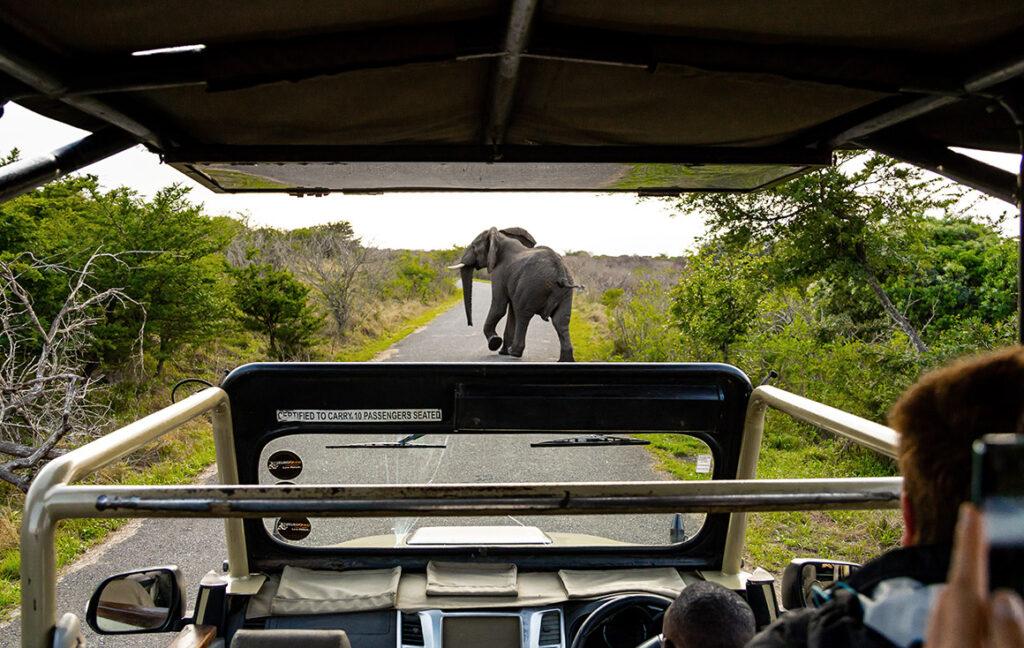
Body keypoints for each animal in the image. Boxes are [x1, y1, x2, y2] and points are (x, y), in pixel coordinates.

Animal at [448, 227, 579, 362]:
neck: (500, 237)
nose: (470, 324)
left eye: (474, 246)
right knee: (561, 320)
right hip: (566, 291)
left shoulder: (499, 272)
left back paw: (514, 352)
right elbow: (511, 311)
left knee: (522, 315)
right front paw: (502, 352)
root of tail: (559, 270)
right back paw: (565, 360)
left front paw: (495, 342)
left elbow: (499, 307)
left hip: (531, 285)